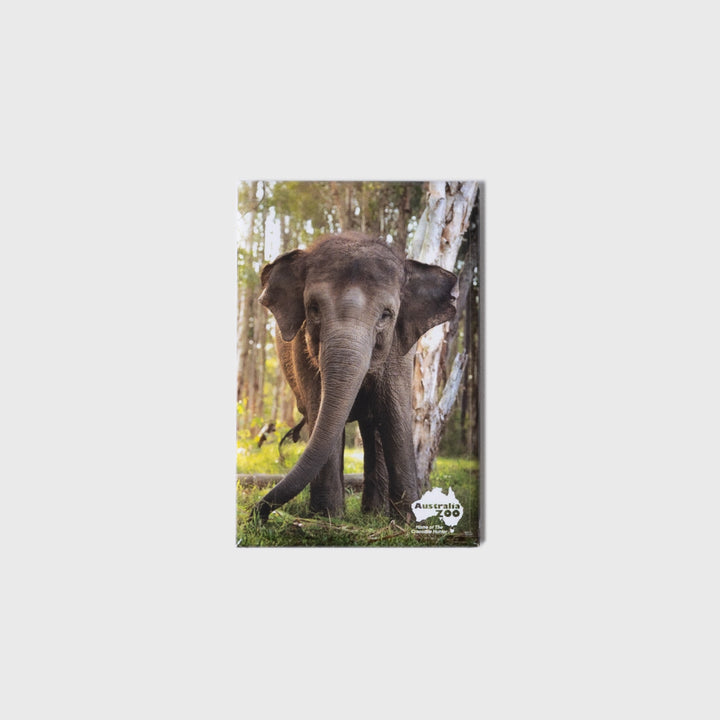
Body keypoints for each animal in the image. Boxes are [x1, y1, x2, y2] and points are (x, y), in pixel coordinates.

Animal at [252, 231, 457, 523]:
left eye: (386, 315)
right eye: (313, 309)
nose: (258, 514)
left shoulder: (400, 350)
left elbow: (394, 413)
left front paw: (408, 521)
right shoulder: (302, 349)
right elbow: (320, 410)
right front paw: (327, 517)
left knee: (373, 426)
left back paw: (375, 514)